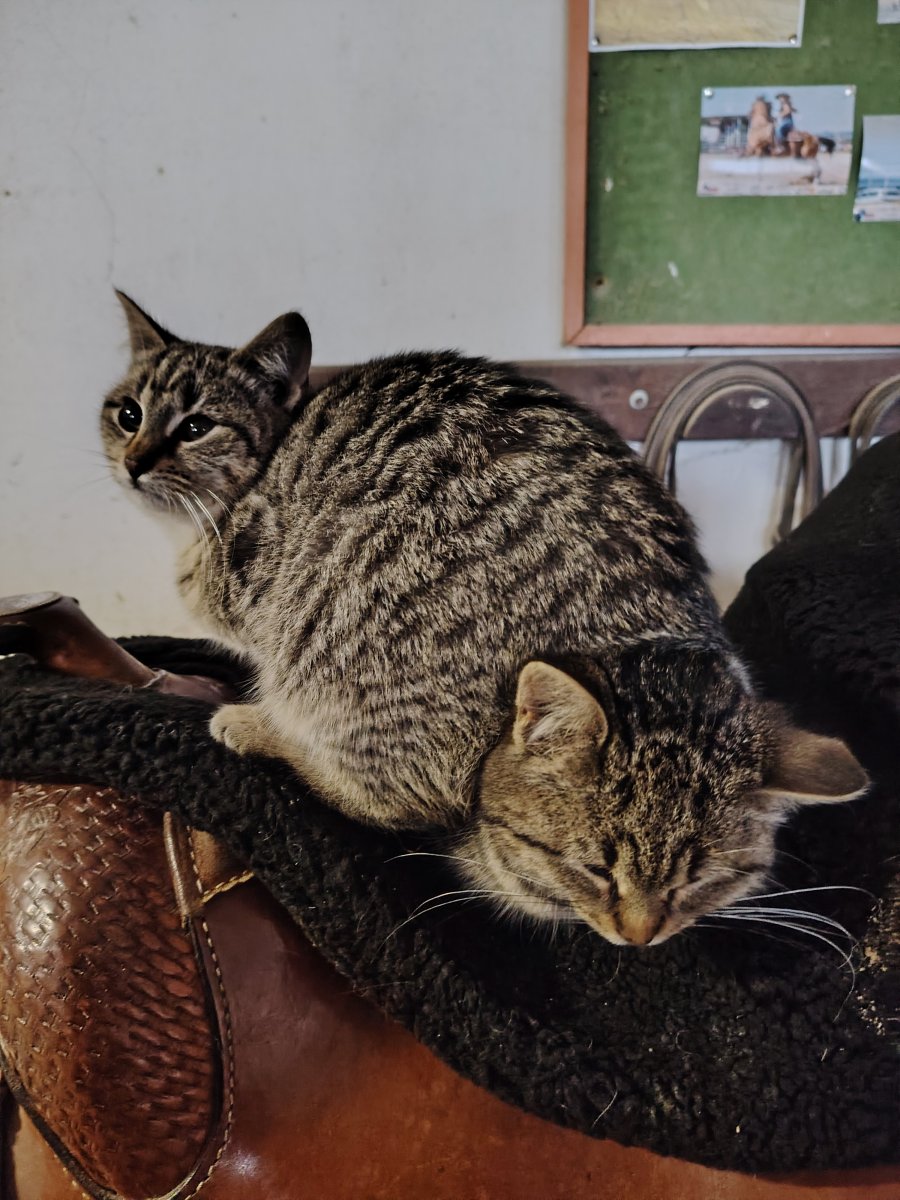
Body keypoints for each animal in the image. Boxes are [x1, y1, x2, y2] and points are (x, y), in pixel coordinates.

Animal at [102, 292, 866, 945]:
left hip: (334, 662)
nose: (133, 463)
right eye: (127, 414)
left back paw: (257, 726)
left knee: (388, 798)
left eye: (196, 426)